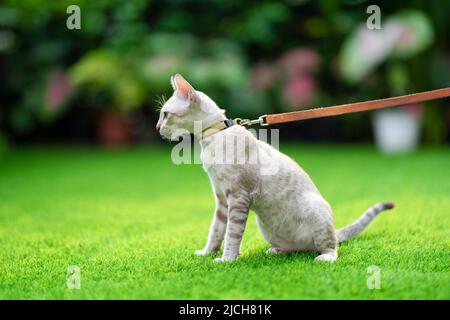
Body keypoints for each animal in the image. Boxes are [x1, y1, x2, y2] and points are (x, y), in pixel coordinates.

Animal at [157, 74, 394, 262]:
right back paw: (276, 251)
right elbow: (216, 231)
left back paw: (324, 257)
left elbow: (232, 234)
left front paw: (226, 260)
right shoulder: (222, 198)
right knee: (301, 248)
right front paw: (207, 253)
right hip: (265, 225)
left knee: (329, 246)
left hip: (316, 213)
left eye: (165, 114)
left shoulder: (238, 197)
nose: (157, 128)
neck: (211, 138)